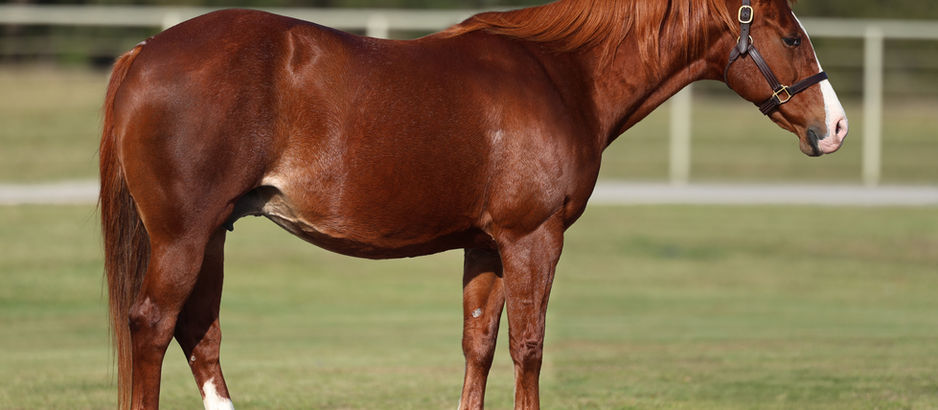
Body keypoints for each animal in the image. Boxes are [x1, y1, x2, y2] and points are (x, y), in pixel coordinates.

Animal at [99, 0, 848, 408]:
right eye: (790, 36)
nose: (835, 126)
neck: (562, 74)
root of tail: (143, 52)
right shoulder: (532, 238)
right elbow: (528, 346)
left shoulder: (485, 245)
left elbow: (479, 346)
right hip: (184, 237)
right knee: (154, 326)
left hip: (212, 235)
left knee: (200, 338)